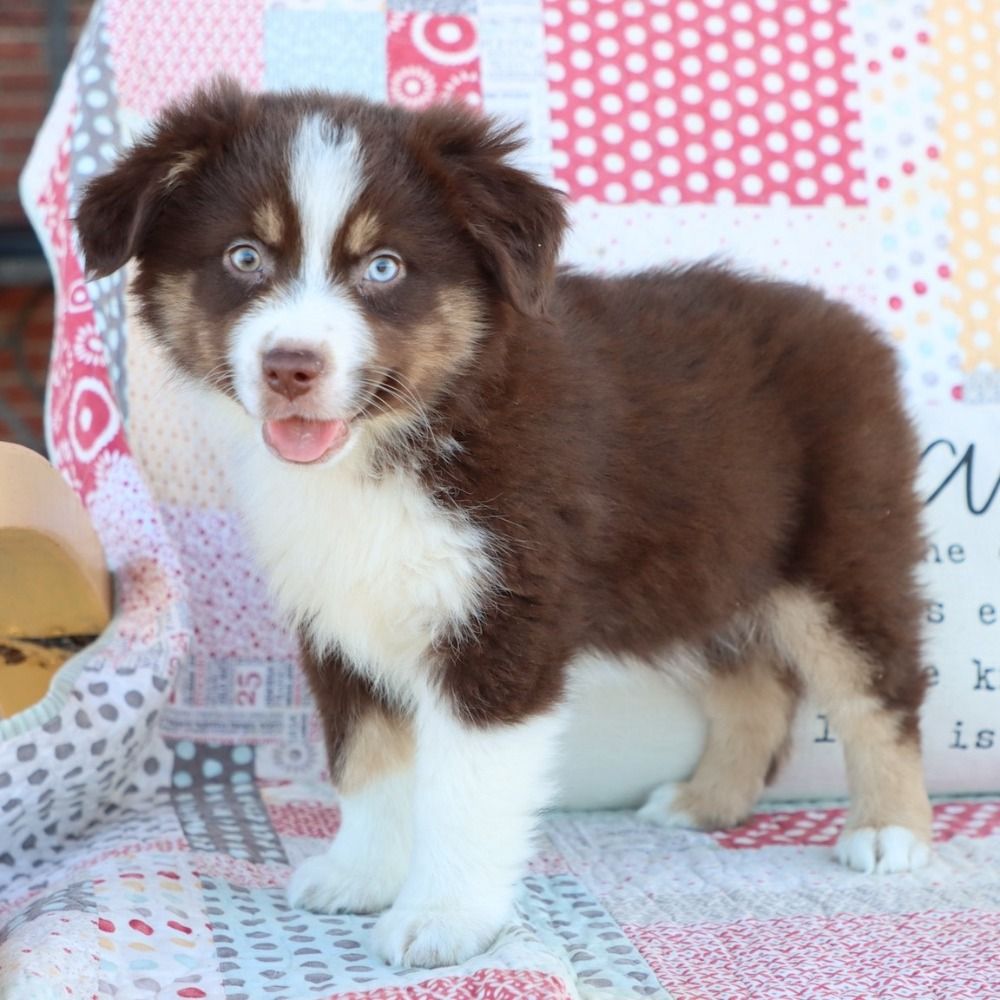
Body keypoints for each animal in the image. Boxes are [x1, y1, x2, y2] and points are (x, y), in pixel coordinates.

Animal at [74, 82, 932, 972]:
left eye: (383, 268)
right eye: (244, 258)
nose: (290, 367)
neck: (418, 429)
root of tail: (855, 328)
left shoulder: (501, 620)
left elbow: (464, 792)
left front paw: (443, 918)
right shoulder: (340, 616)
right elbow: (366, 762)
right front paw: (361, 875)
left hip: (844, 549)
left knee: (880, 688)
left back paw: (890, 830)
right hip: (707, 564)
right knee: (755, 685)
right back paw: (707, 800)